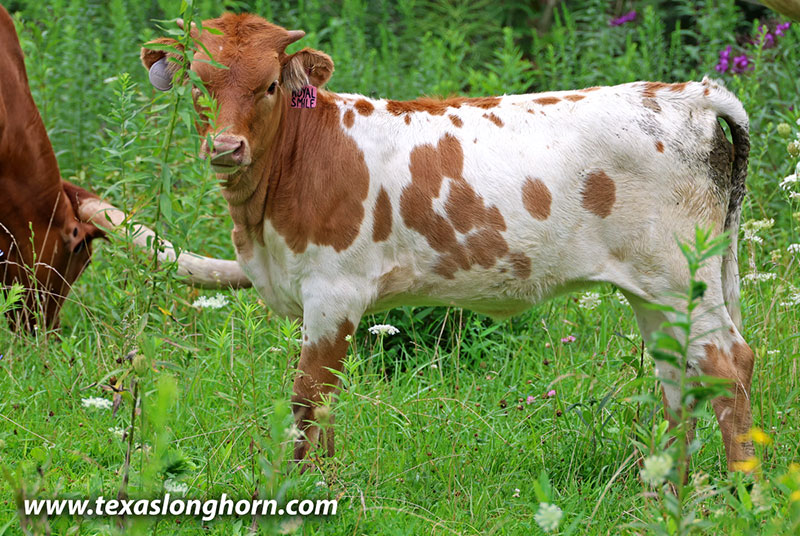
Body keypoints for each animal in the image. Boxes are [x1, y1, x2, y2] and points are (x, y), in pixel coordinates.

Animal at [141, 13, 754, 471]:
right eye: (198, 84)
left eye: (269, 85)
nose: (226, 147)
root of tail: (688, 95)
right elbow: (327, 403)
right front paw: (325, 483)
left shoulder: (334, 291)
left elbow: (308, 399)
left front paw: (298, 493)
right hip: (652, 288)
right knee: (678, 378)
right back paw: (665, 498)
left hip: (681, 277)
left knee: (729, 366)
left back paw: (738, 495)